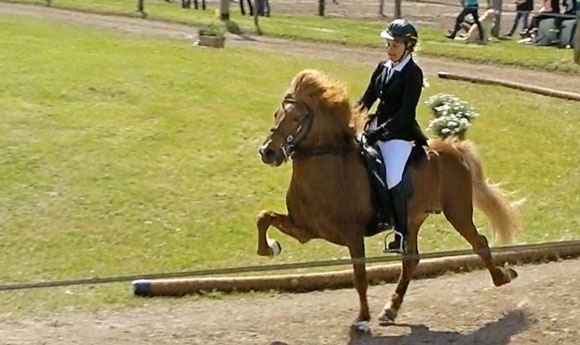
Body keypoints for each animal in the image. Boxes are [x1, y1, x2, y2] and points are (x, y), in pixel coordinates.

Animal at [256, 68, 520, 330]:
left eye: (296, 119)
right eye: (277, 114)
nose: (267, 152)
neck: (328, 167)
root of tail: (454, 148)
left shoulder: (353, 236)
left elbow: (360, 277)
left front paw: (362, 318)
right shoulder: (304, 229)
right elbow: (263, 217)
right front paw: (269, 248)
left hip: (457, 211)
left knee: (479, 243)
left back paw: (502, 277)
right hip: (413, 219)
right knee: (411, 260)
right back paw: (390, 310)